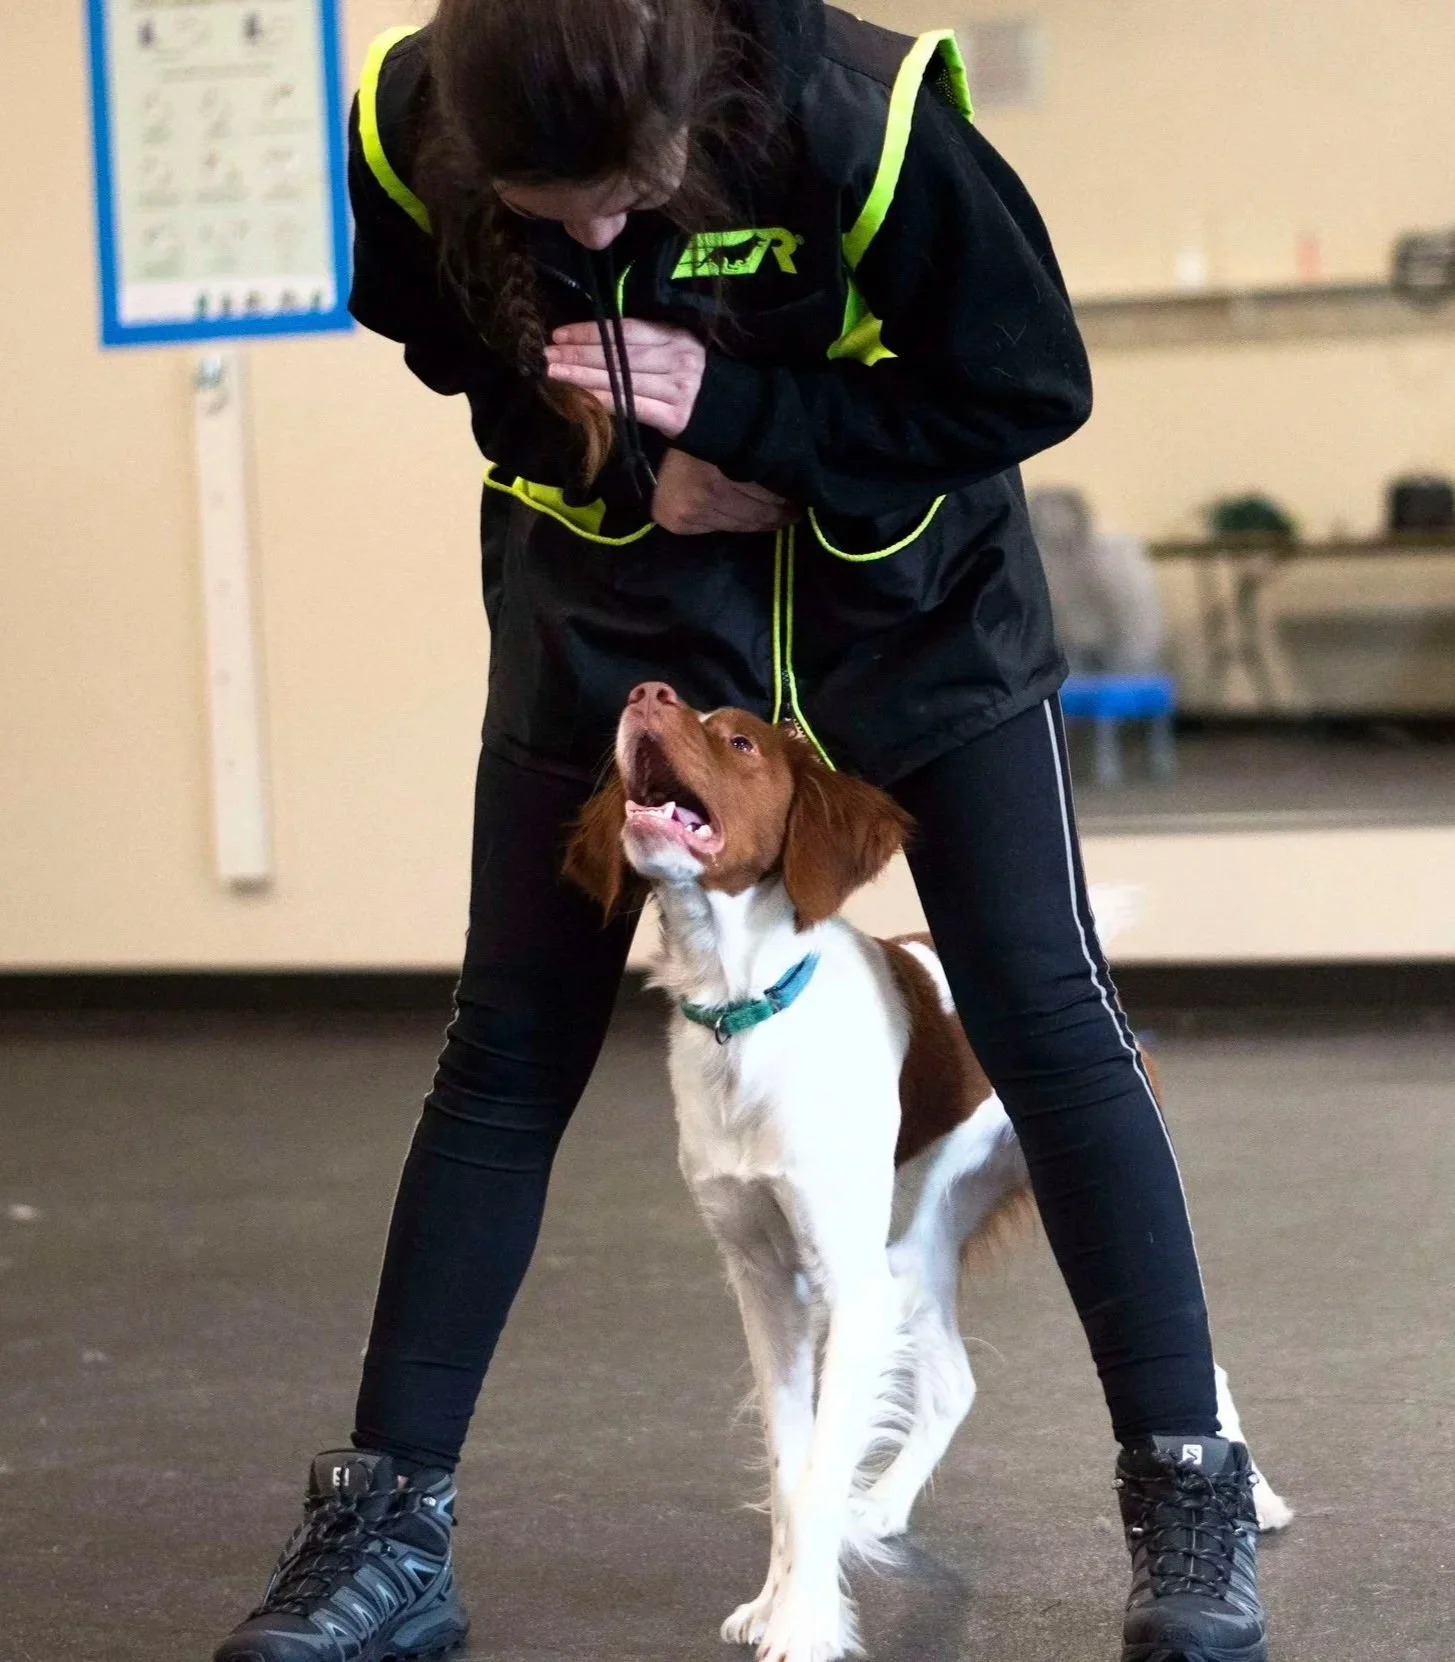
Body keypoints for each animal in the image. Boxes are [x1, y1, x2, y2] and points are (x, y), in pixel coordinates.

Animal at [566, 681, 1293, 1662]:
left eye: (740, 742)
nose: (645, 692)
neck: (748, 1008)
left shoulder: (845, 1281)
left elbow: (819, 1468)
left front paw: (804, 1626)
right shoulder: (763, 1277)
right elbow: (792, 1465)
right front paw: (776, 1602)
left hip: (1069, 1210)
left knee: (1198, 1362)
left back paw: (1257, 1501)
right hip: (916, 1245)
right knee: (952, 1382)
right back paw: (881, 1507)